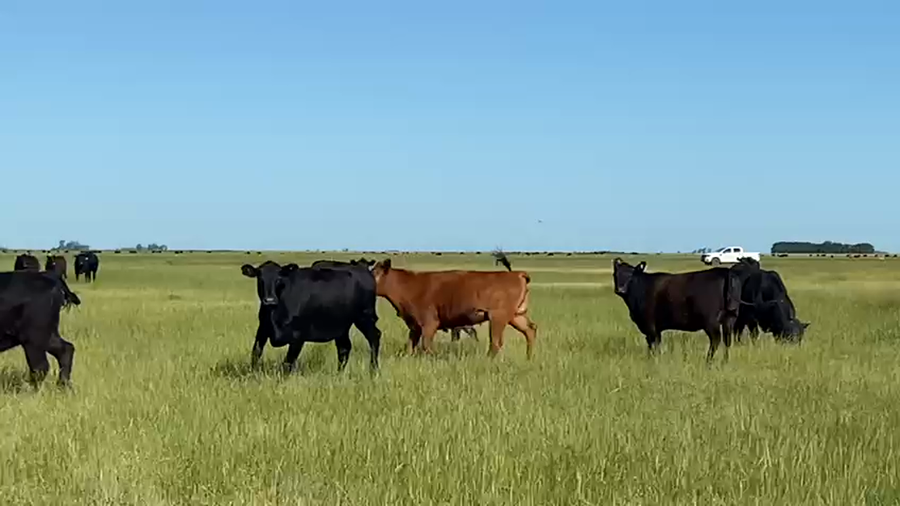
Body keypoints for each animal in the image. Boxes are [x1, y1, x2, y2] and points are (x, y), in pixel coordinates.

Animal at [370, 253, 537, 359]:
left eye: (374, 273)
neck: (407, 286)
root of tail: (517, 274)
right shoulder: (414, 326)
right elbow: (410, 347)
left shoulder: (429, 323)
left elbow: (426, 345)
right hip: (516, 316)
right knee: (530, 330)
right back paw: (529, 358)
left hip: (498, 318)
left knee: (495, 343)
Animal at [611, 258, 741, 363]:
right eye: (615, 274)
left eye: (631, 276)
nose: (620, 289)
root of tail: (724, 271)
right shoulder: (656, 329)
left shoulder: (650, 326)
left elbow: (653, 345)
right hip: (730, 317)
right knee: (727, 339)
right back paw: (725, 361)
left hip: (711, 321)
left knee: (716, 340)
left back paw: (708, 361)